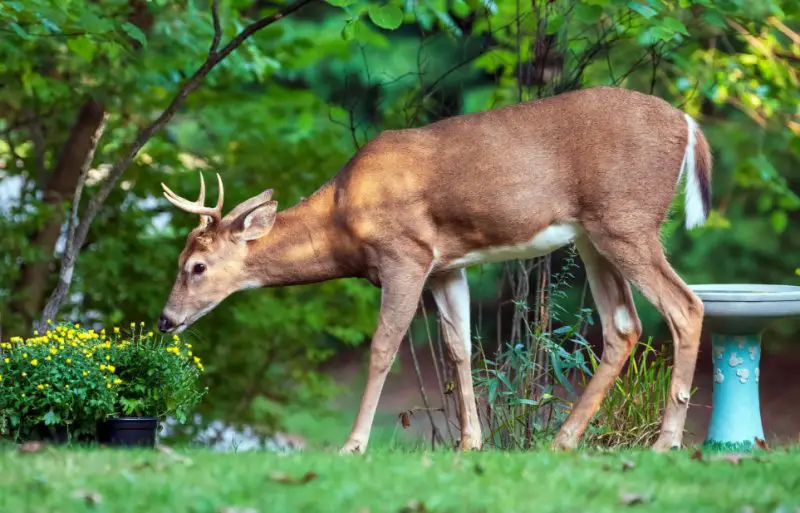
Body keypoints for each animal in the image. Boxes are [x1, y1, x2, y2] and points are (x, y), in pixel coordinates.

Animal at [157, 86, 712, 454]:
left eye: (197, 266)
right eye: (182, 263)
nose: (166, 320)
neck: (342, 218)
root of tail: (688, 124)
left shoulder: (404, 254)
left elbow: (383, 347)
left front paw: (353, 445)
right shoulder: (446, 265)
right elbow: (458, 348)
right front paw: (469, 443)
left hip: (626, 221)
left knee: (685, 306)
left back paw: (665, 444)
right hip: (594, 235)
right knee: (624, 325)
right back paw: (562, 440)